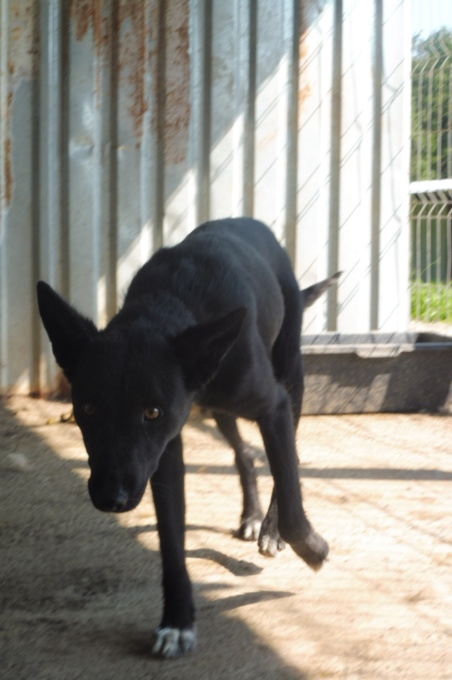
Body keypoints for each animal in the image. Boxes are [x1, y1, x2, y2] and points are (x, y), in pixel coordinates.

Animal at [37, 218, 338, 660]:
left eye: (152, 412)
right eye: (88, 409)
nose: (110, 498)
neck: (167, 308)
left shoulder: (273, 406)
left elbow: (290, 488)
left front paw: (311, 547)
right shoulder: (162, 455)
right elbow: (170, 543)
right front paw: (178, 621)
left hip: (292, 378)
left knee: (285, 464)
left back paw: (268, 528)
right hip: (220, 412)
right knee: (244, 454)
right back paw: (250, 516)